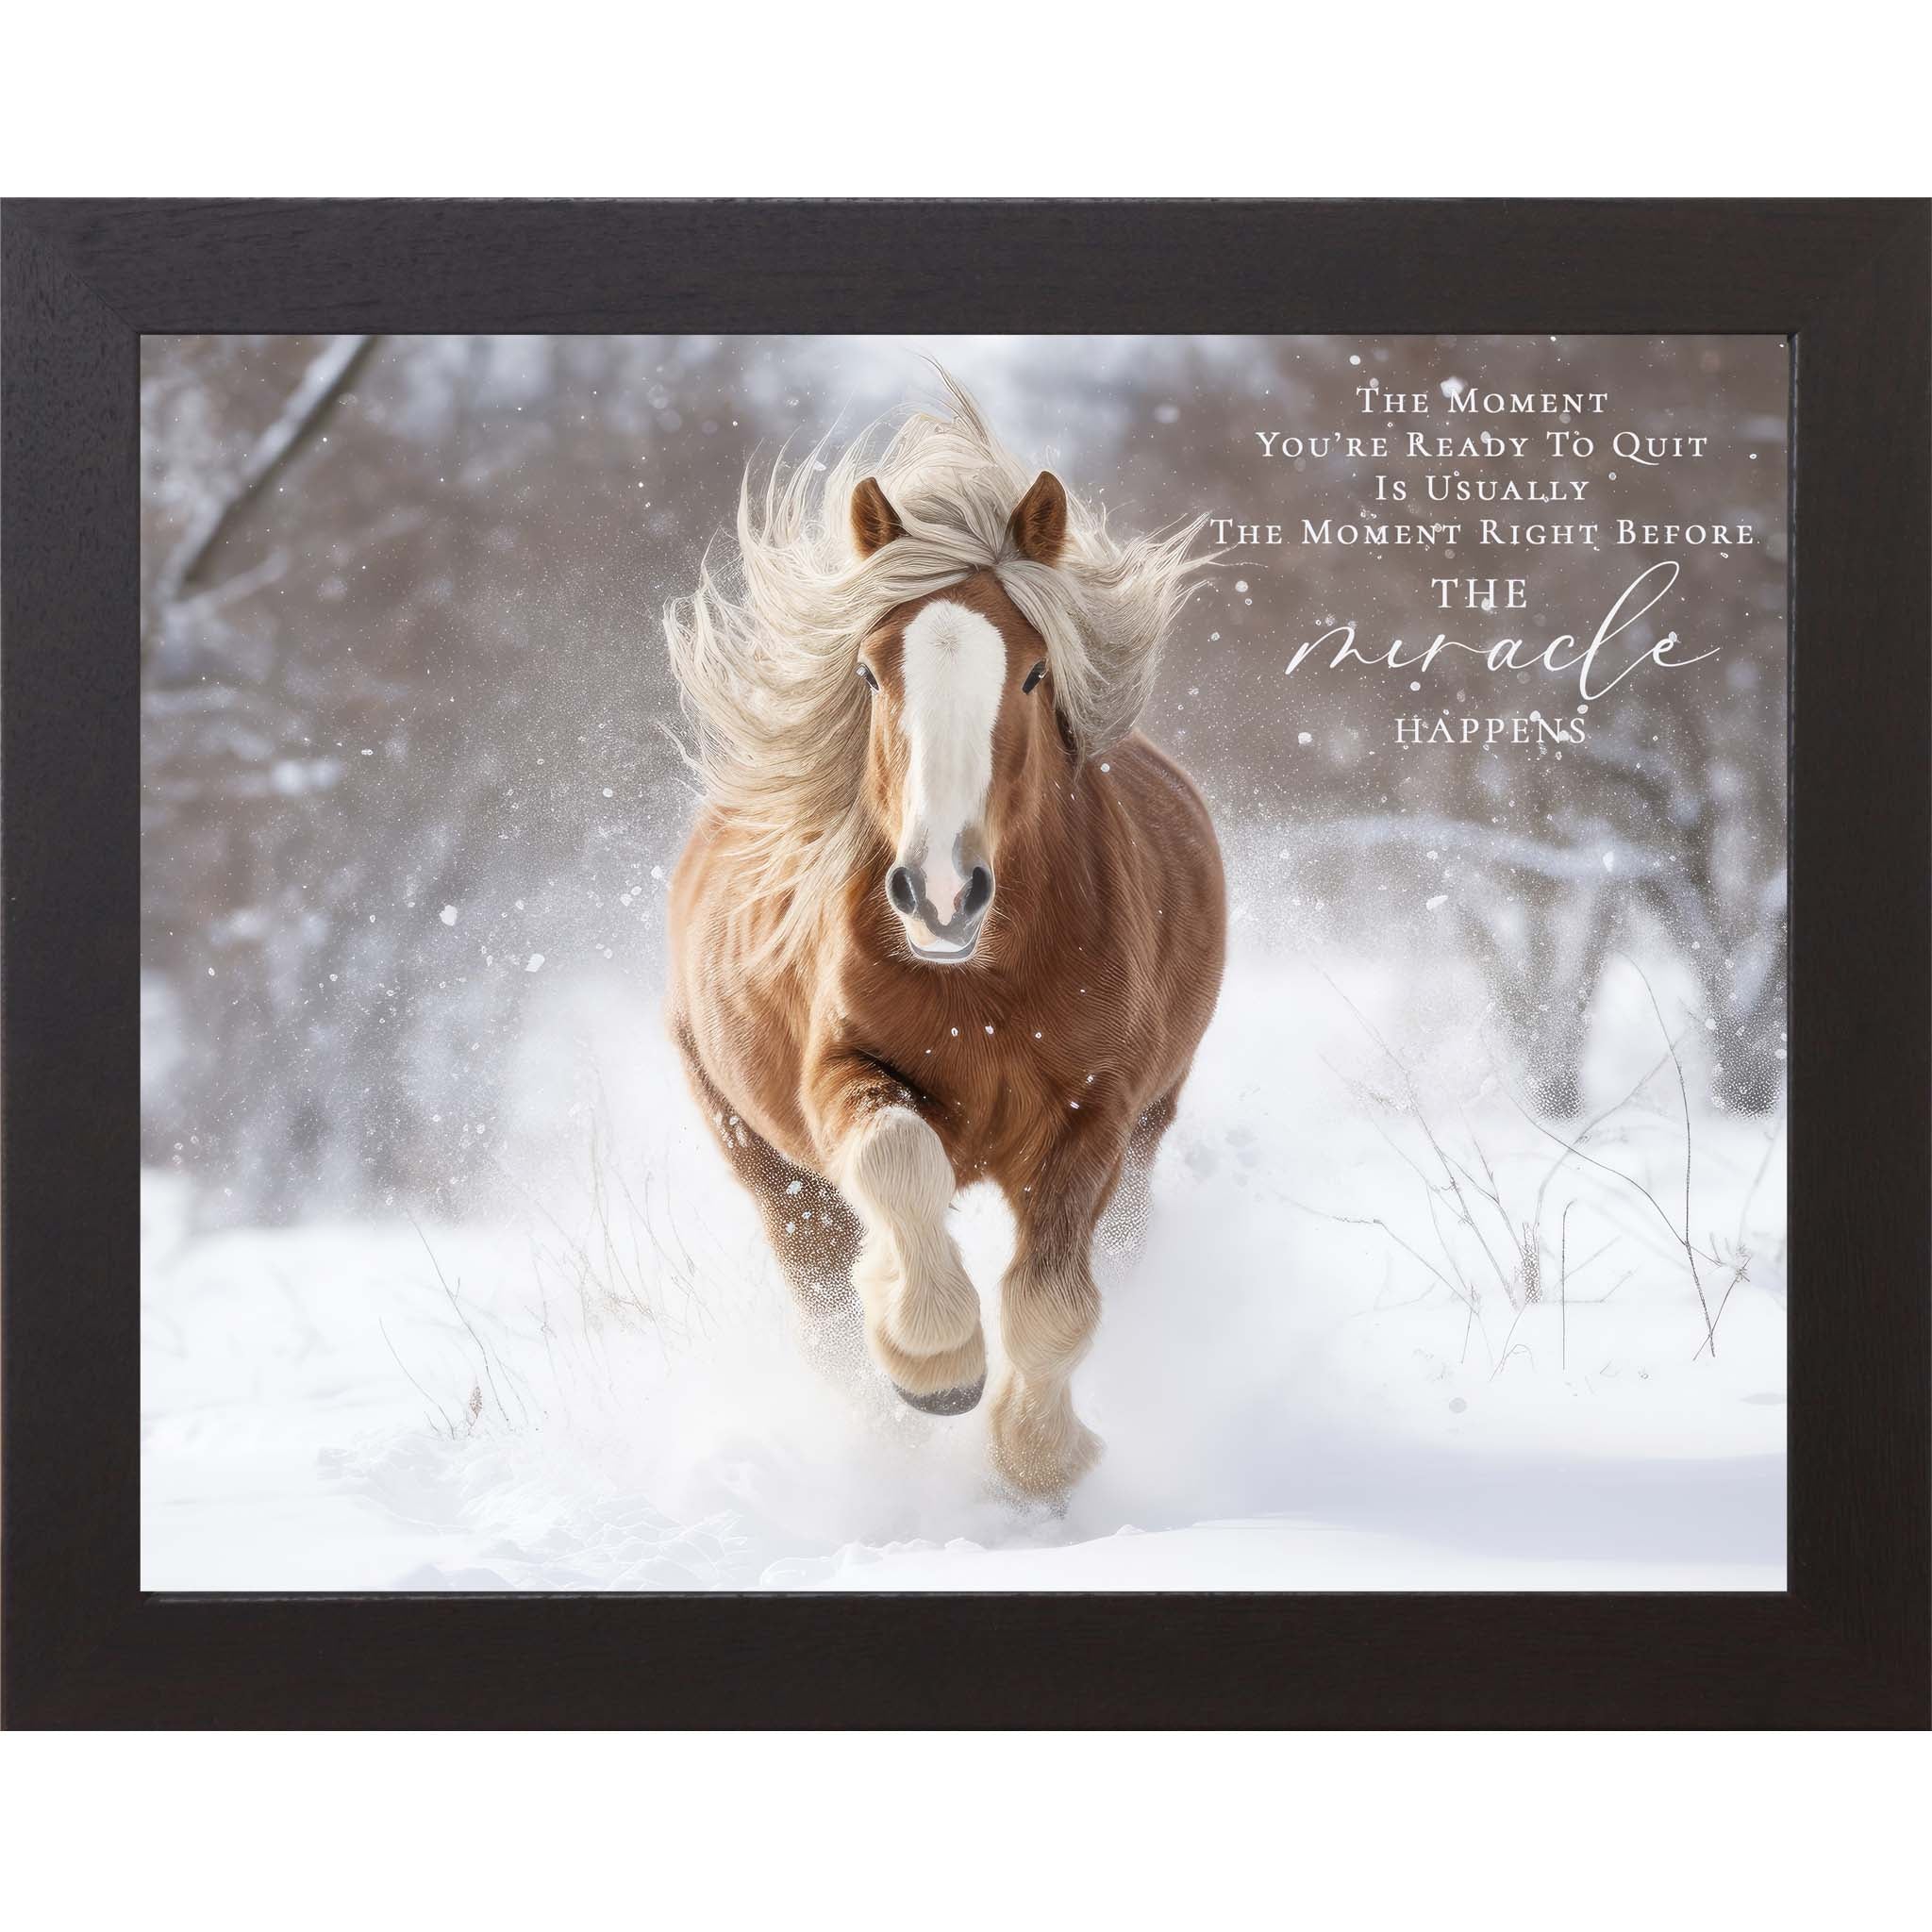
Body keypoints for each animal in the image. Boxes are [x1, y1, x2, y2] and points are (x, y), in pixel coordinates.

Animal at [662, 377, 1225, 1499]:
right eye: (872, 673)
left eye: (1035, 672)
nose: (938, 895)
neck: (986, 985)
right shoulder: (838, 1073)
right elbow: (897, 1159)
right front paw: (935, 1361)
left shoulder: (1097, 1114)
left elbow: (1053, 1306)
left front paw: (1043, 1455)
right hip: (767, 1166)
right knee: (826, 1313)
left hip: (1149, 1135)